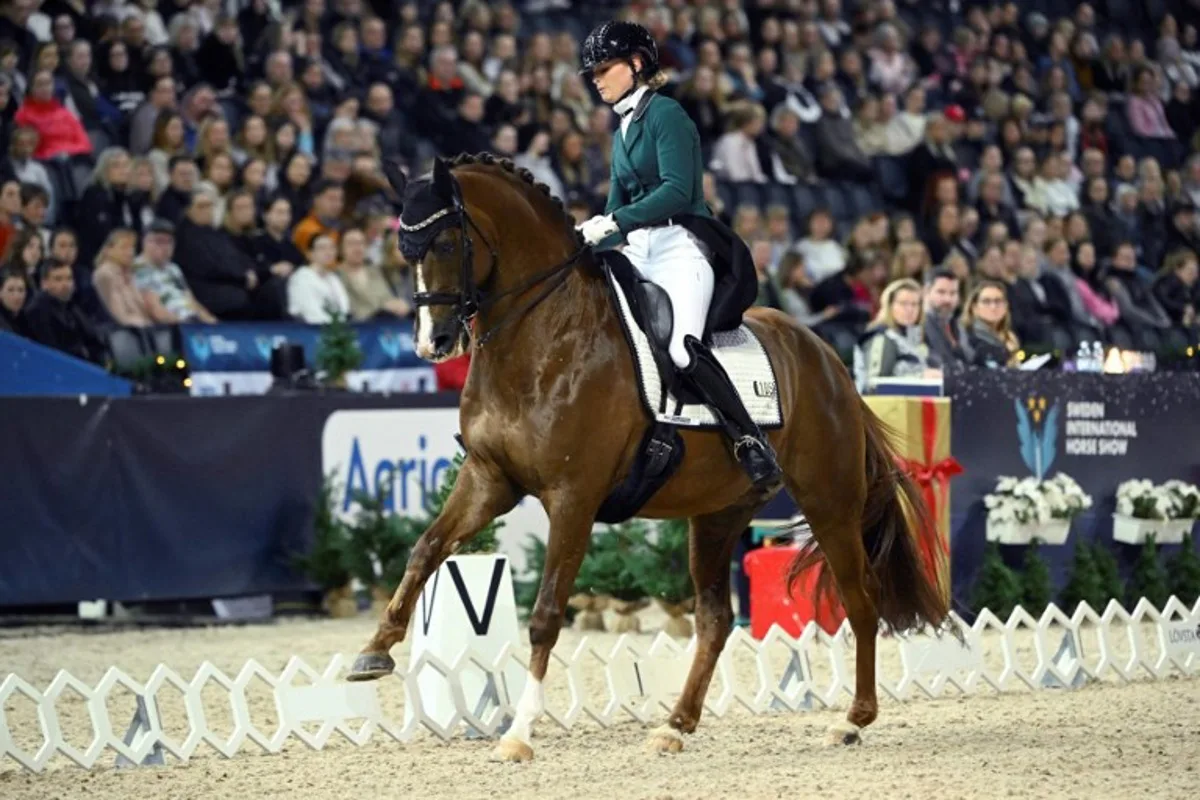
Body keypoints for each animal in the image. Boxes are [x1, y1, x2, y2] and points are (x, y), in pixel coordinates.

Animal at [348, 155, 945, 762]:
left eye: (447, 243)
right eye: (403, 250)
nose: (433, 344)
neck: (543, 338)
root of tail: (829, 359)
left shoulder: (573, 498)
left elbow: (545, 614)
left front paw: (518, 733)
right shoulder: (489, 479)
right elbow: (425, 550)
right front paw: (374, 652)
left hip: (829, 501)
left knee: (861, 598)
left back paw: (853, 719)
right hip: (719, 513)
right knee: (716, 618)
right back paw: (675, 724)